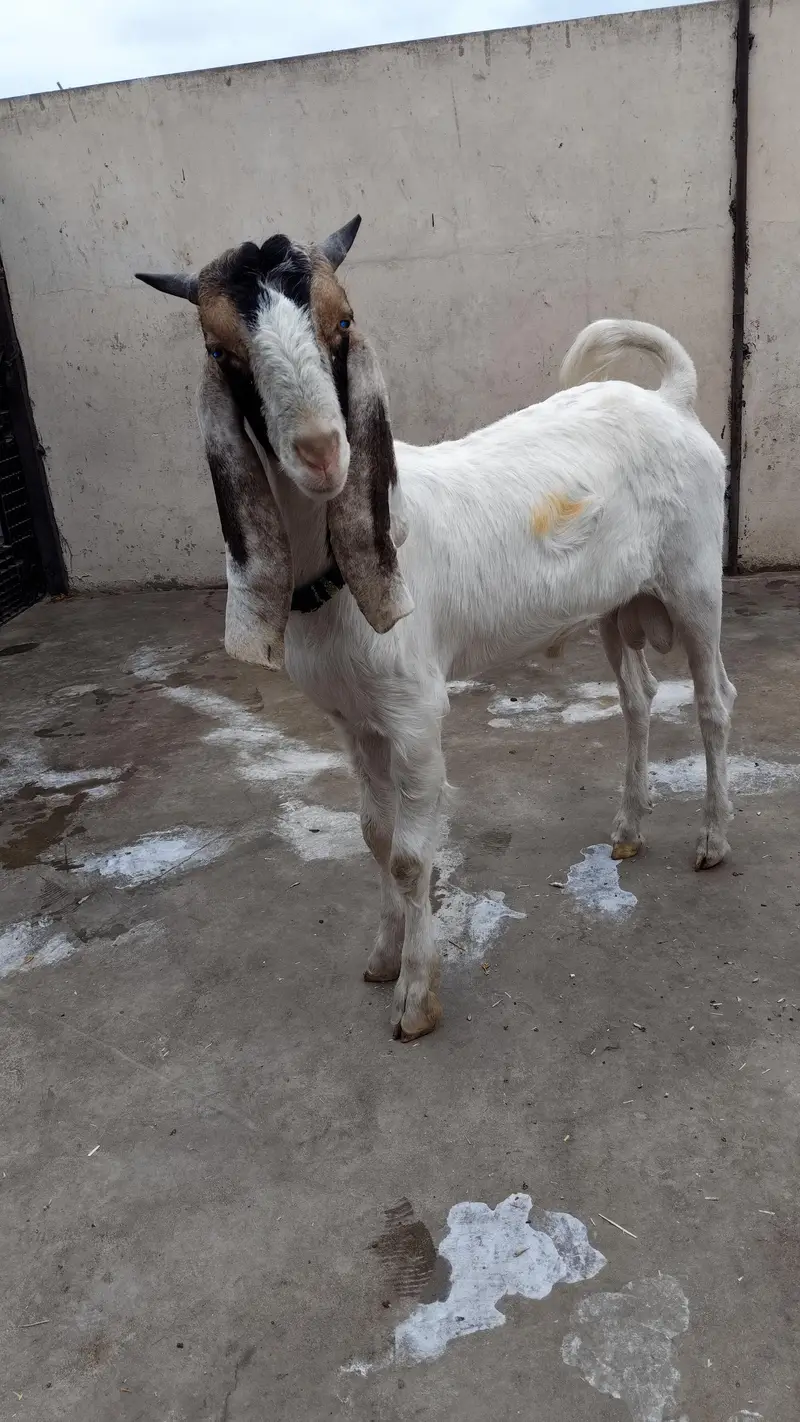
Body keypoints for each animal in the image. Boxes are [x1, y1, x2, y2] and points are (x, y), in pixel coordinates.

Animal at [137, 218, 735, 1042]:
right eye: (222, 351)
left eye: (343, 323)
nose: (322, 450)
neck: (333, 576)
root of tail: (671, 401)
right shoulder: (349, 717)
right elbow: (374, 834)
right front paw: (383, 954)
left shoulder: (415, 710)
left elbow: (412, 855)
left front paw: (417, 996)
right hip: (620, 602)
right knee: (638, 700)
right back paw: (628, 828)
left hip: (694, 578)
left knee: (713, 701)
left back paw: (712, 841)